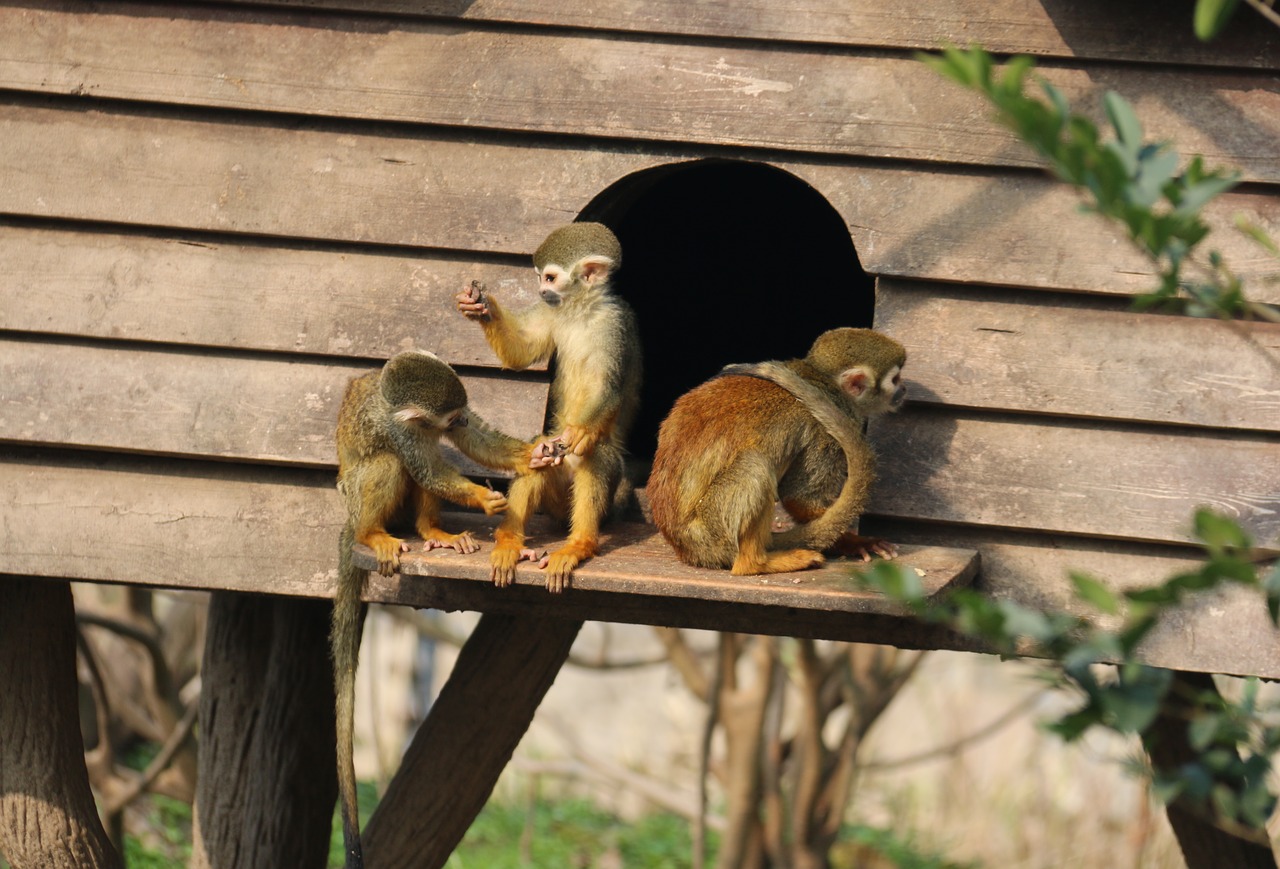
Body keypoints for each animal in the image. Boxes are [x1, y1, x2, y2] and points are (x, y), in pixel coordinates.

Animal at [330, 348, 555, 869]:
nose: (460, 419)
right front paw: (483, 498)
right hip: (354, 501)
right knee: (389, 463)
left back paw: (433, 530)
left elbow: (474, 443)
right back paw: (372, 534)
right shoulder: (402, 430)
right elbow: (423, 465)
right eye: (449, 416)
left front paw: (530, 454)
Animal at [650, 330, 901, 573]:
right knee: (754, 465)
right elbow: (800, 498)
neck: (819, 379)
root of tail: (686, 550)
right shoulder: (825, 435)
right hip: (711, 534)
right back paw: (754, 563)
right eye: (895, 380)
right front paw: (853, 542)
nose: (904, 390)